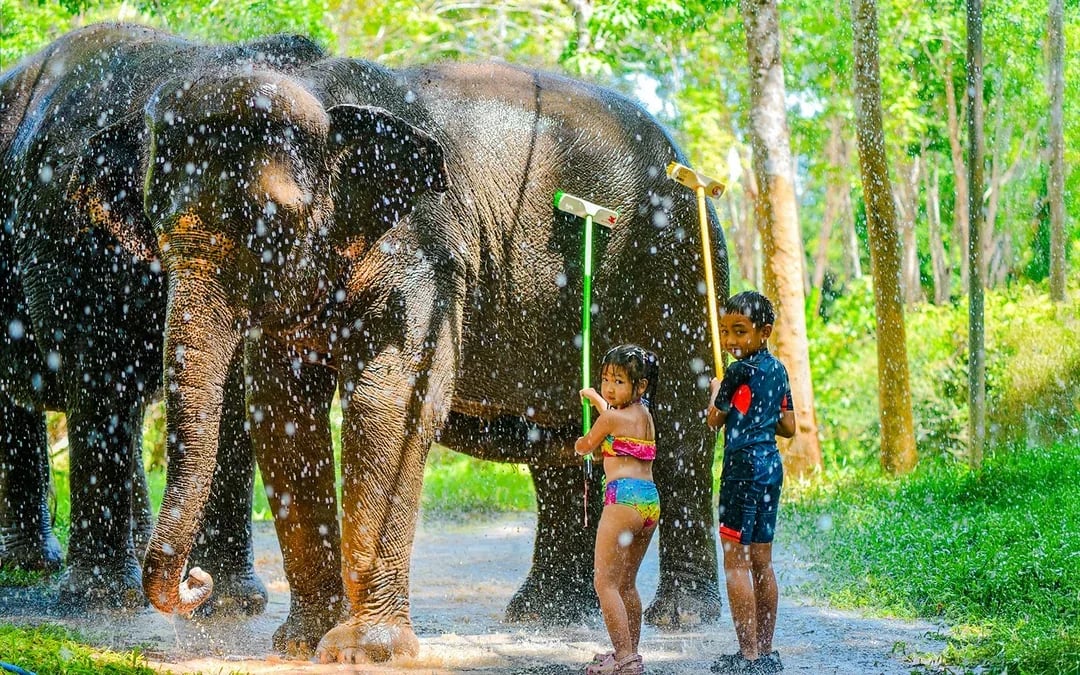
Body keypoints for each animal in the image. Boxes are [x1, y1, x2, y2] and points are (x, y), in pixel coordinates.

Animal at [0, 22, 333, 611]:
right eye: (159, 216)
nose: (192, 582)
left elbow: (234, 392)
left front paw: (231, 602)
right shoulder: (69, 241)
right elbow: (100, 373)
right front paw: (101, 602)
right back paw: (39, 568)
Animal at [132, 49, 730, 661]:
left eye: (270, 220)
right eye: (153, 219)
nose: (196, 581)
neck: (325, 92)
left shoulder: (426, 252)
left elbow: (392, 406)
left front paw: (362, 651)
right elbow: (281, 413)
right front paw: (301, 643)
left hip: (676, 263)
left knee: (678, 430)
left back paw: (680, 617)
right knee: (561, 442)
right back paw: (546, 616)